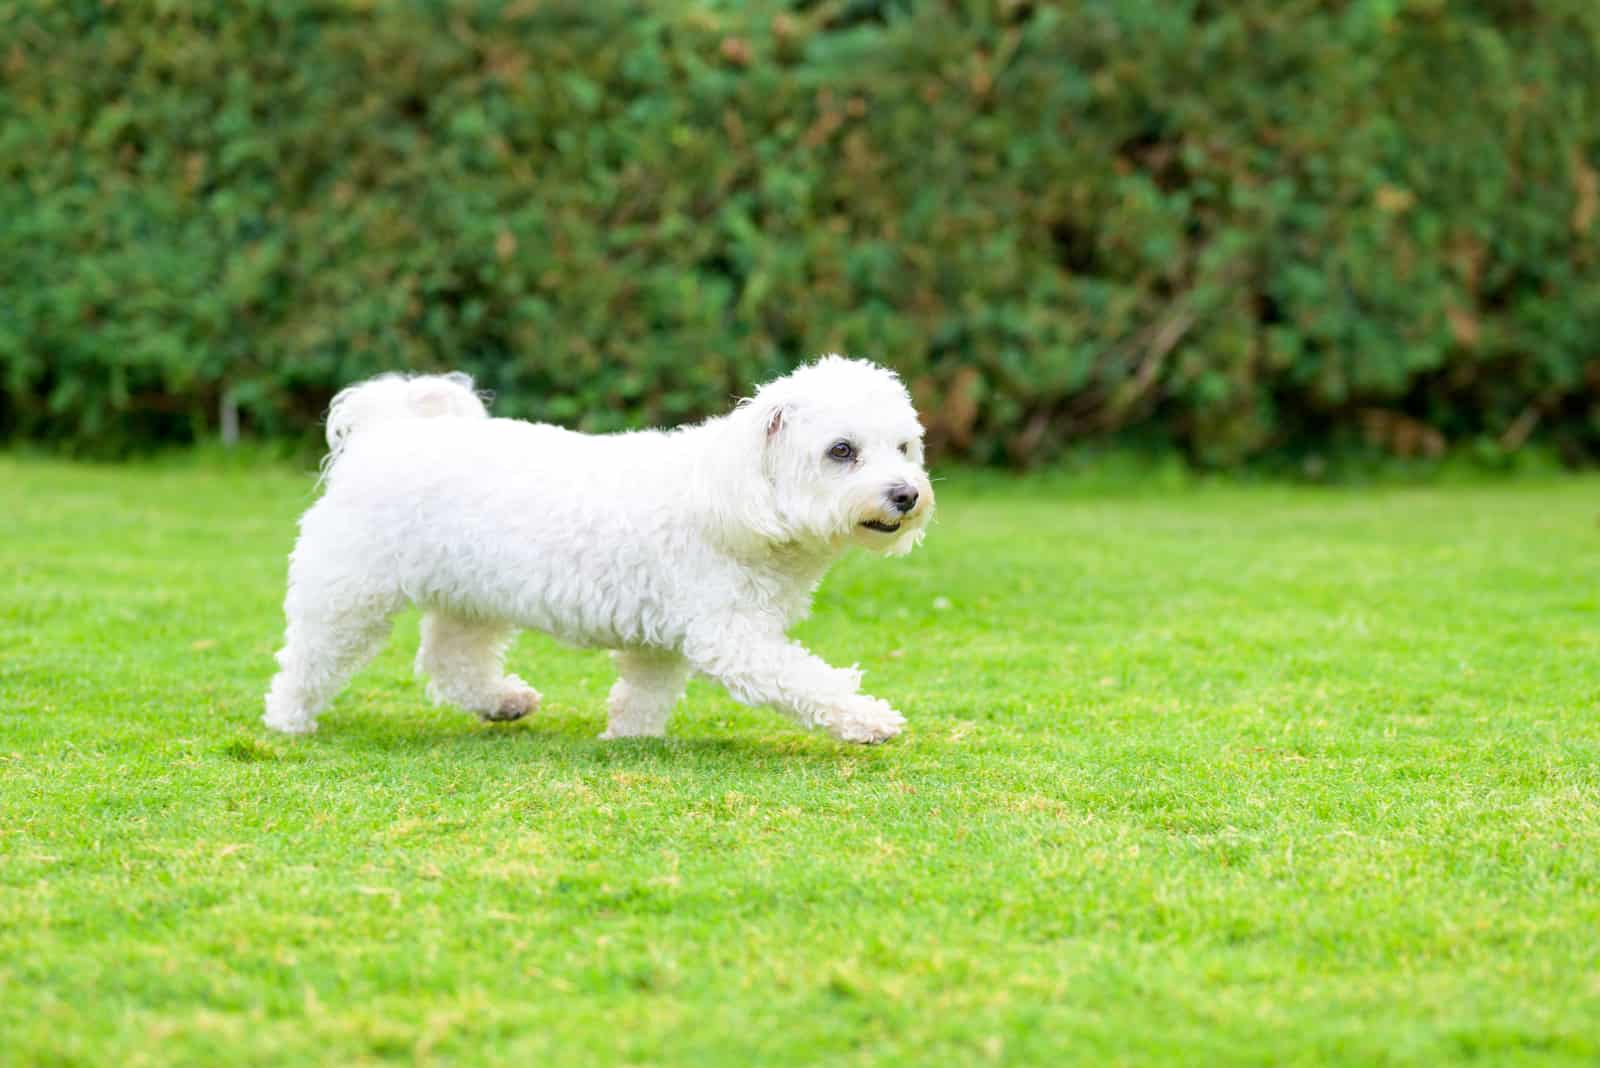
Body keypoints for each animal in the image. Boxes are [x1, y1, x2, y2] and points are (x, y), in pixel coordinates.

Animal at [264, 356, 934, 741]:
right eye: (841, 451)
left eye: (904, 447)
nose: (906, 495)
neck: (740, 494)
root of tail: (386, 432)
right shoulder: (730, 634)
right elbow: (804, 679)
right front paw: (869, 719)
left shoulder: (664, 636)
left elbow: (645, 691)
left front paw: (629, 738)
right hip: (349, 595)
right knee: (308, 660)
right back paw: (288, 721)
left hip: (472, 597)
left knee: (452, 662)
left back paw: (502, 702)